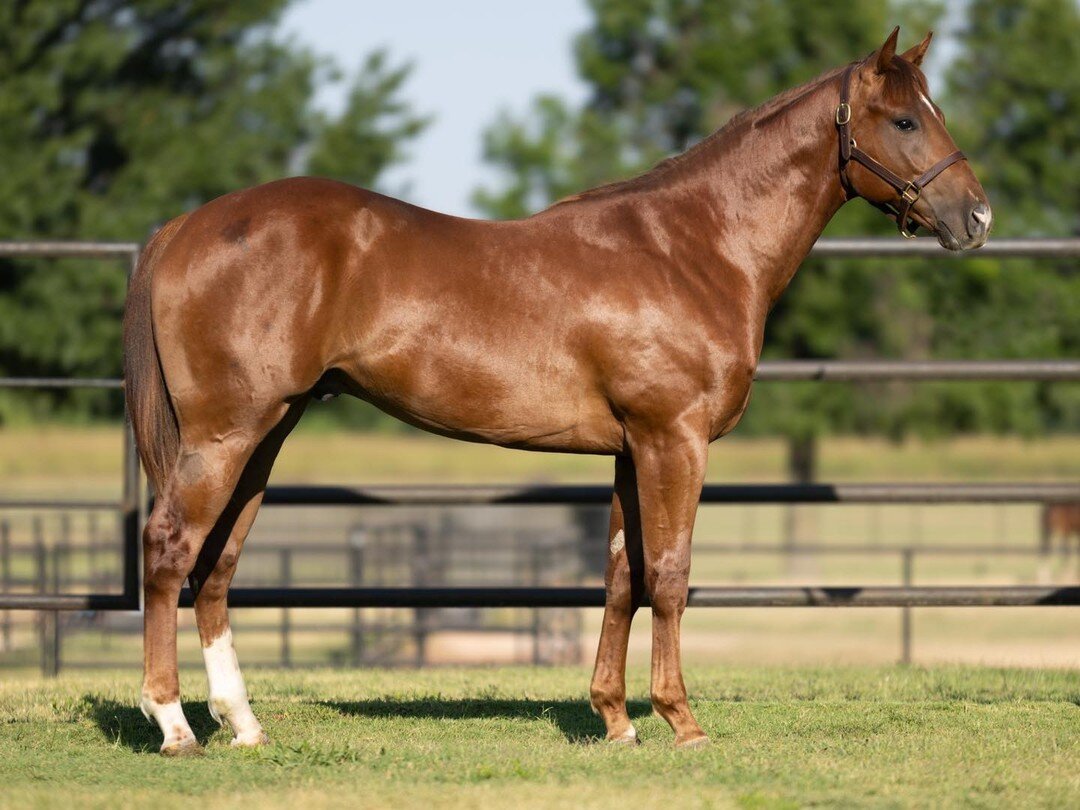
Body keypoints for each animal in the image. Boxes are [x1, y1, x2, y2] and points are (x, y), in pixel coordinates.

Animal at [122, 30, 989, 756]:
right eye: (905, 120)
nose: (976, 217)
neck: (692, 247)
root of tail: (183, 226)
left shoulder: (632, 448)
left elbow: (621, 577)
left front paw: (614, 720)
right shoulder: (674, 439)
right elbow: (669, 574)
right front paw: (680, 721)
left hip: (266, 434)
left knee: (218, 563)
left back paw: (241, 723)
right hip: (226, 436)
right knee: (169, 549)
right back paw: (173, 725)